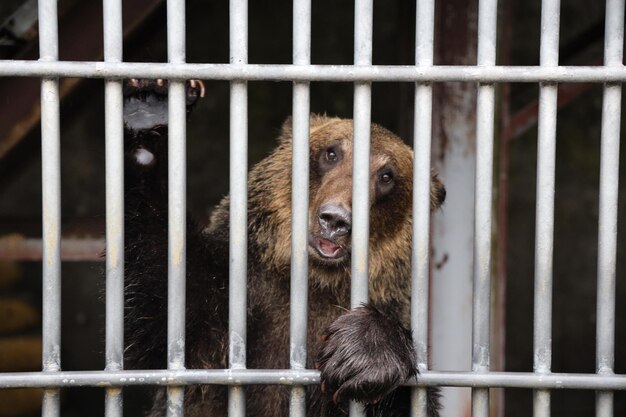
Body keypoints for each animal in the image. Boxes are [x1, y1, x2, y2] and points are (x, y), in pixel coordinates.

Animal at [122, 79, 444, 416]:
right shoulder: (223, 305)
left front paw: (363, 352)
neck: (316, 281)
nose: (335, 219)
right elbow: (158, 286)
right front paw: (149, 112)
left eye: (386, 175)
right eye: (331, 153)